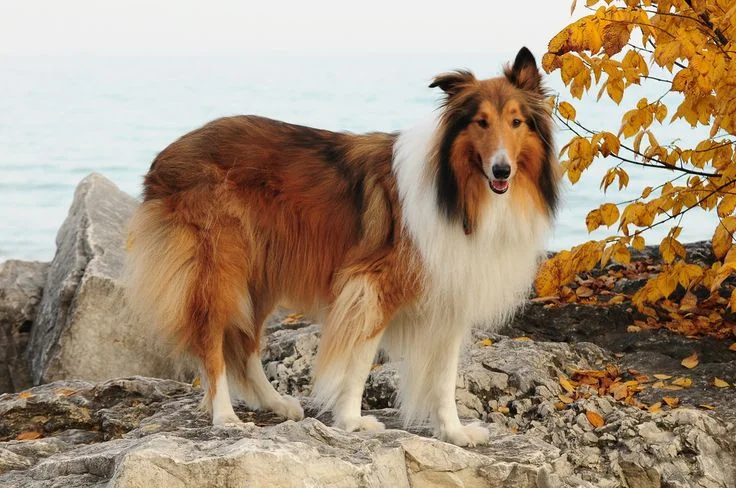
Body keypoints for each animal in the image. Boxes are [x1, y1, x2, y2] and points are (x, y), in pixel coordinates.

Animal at [123, 46, 560, 446]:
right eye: (480, 122)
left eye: (516, 122)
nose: (501, 169)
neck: (455, 191)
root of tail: (165, 156)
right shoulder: (373, 286)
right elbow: (360, 361)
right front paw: (352, 421)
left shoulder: (451, 293)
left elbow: (444, 377)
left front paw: (454, 432)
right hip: (219, 266)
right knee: (212, 341)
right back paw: (226, 416)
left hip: (260, 272)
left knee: (244, 344)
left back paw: (276, 403)